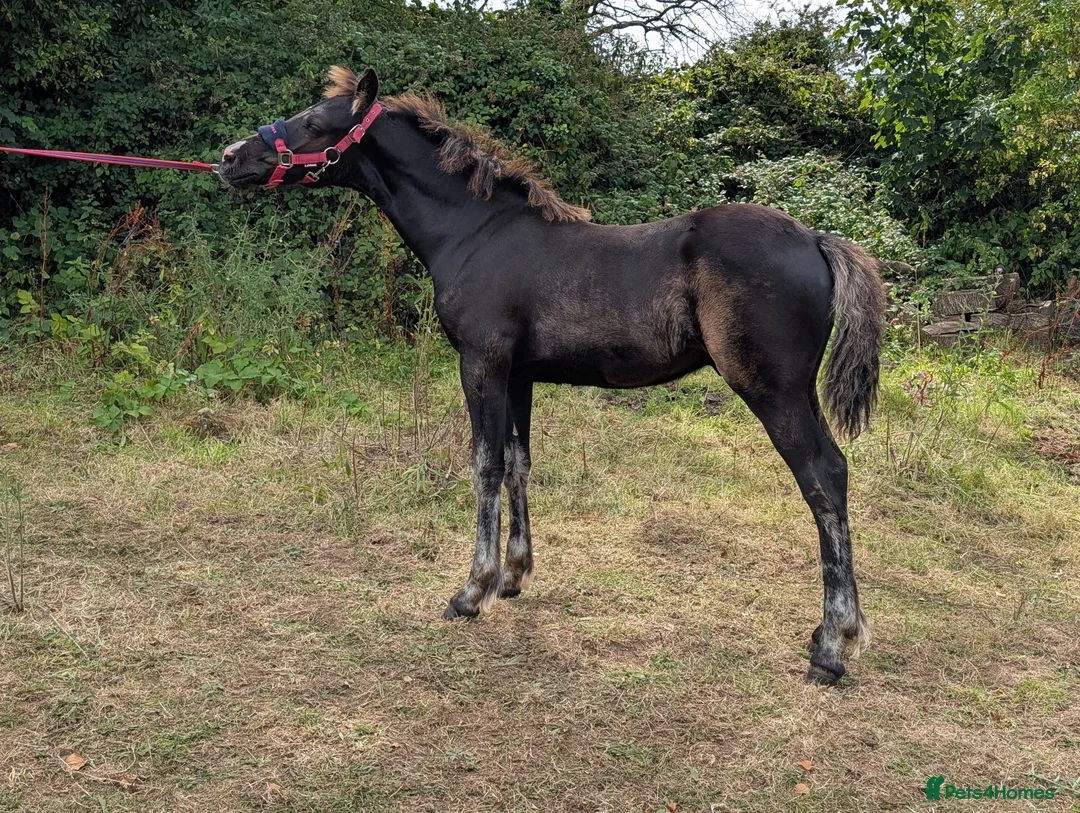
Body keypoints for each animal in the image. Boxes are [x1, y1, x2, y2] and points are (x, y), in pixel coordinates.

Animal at [218, 67, 886, 685]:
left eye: (313, 121)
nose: (229, 158)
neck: (475, 232)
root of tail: (817, 238)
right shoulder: (518, 376)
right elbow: (518, 462)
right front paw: (513, 575)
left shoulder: (481, 364)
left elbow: (485, 465)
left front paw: (472, 590)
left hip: (774, 390)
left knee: (824, 477)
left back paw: (832, 645)